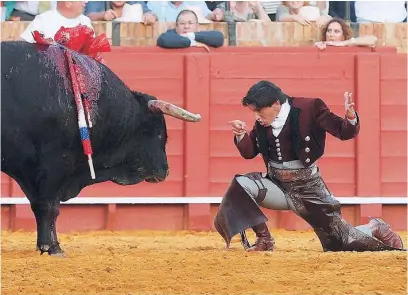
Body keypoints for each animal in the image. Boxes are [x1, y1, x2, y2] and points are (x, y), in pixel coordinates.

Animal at [0, 40, 201, 256]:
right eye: (159, 133)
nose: (165, 170)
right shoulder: (54, 164)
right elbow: (48, 206)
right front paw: (53, 248)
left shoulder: (32, 173)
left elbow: (39, 204)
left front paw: (44, 246)